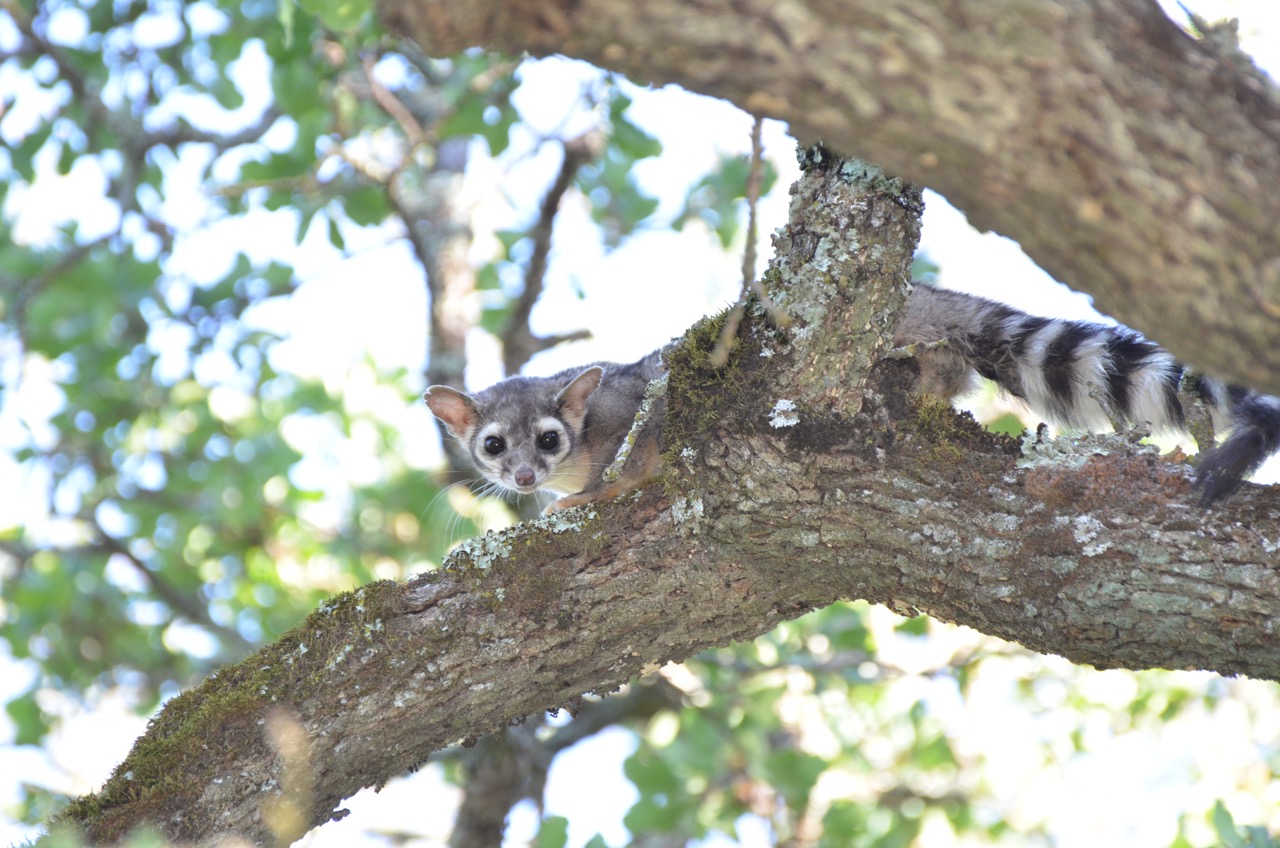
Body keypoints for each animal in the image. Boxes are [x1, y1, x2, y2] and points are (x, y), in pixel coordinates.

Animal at [425, 287, 1280, 510]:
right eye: (493, 446)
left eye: (549, 438)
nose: (525, 478)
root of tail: (935, 298)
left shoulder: (633, 408)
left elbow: (642, 442)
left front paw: (599, 490)